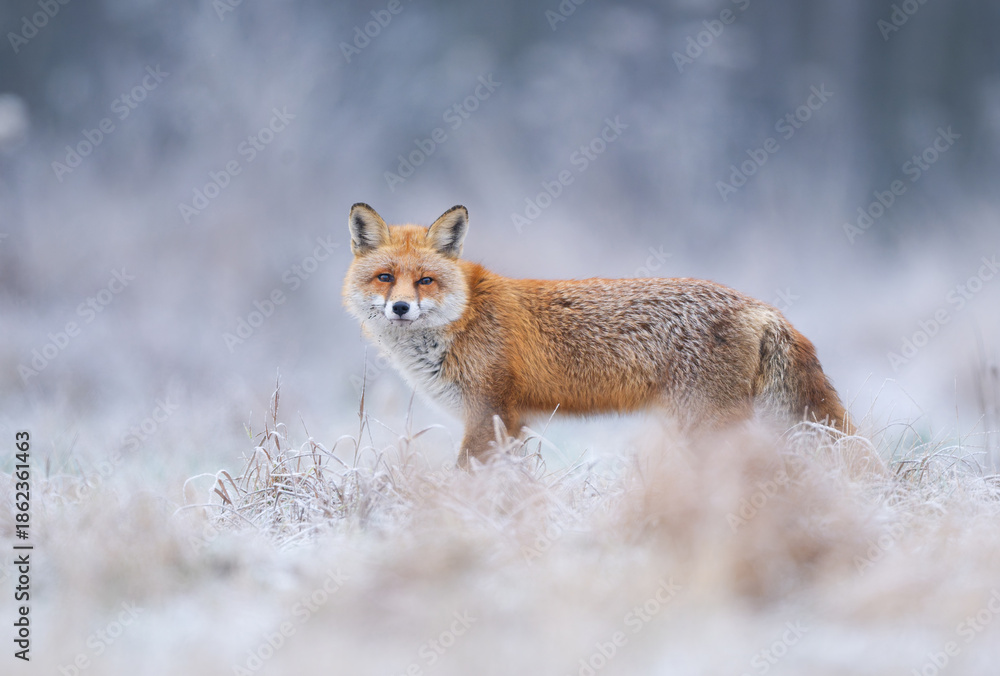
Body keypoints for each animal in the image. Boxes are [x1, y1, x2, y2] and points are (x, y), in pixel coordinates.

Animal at [343, 203, 855, 467]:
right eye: (385, 277)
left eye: (425, 280)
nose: (401, 308)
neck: (463, 320)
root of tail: (761, 306)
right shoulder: (512, 422)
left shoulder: (490, 414)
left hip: (705, 424)